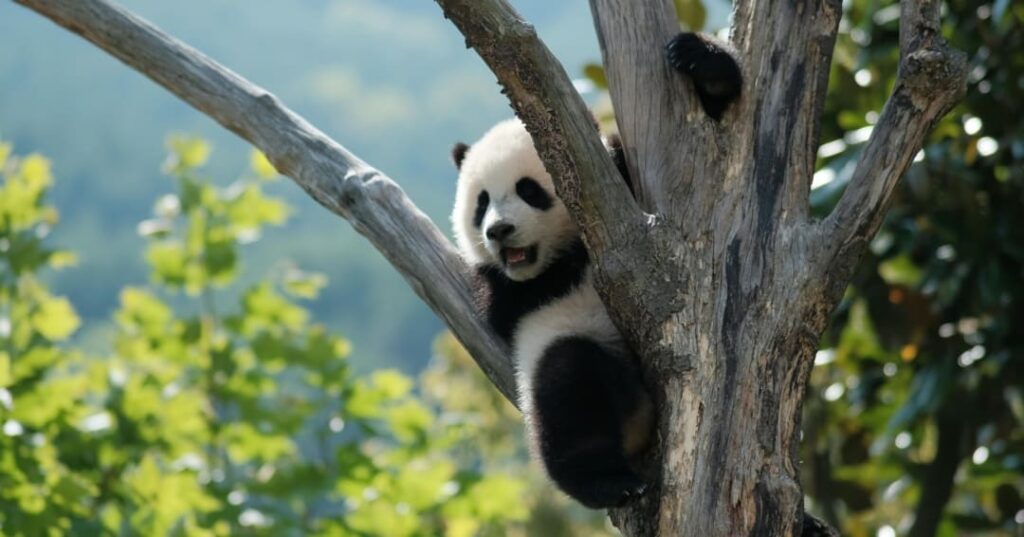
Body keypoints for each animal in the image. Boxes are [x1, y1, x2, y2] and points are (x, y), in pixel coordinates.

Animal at [448, 32, 742, 509]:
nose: (499, 231)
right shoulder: (509, 293)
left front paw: (702, 62)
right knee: (567, 385)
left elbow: (712, 124)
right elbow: (512, 304)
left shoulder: (620, 178)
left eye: (529, 191)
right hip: (569, 355)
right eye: (482, 202)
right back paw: (607, 481)